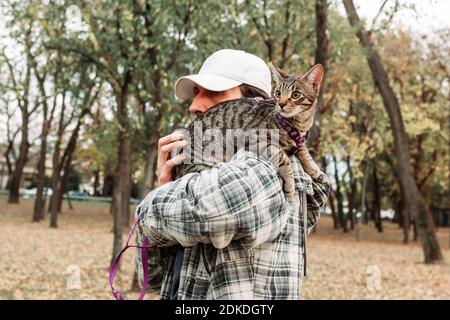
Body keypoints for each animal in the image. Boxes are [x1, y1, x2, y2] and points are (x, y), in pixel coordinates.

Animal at [172, 62, 324, 198]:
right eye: (278, 93)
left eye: (295, 95)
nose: (281, 104)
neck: (299, 125)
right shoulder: (253, 140)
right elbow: (283, 157)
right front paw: (290, 185)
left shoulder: (299, 140)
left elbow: (303, 151)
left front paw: (314, 170)